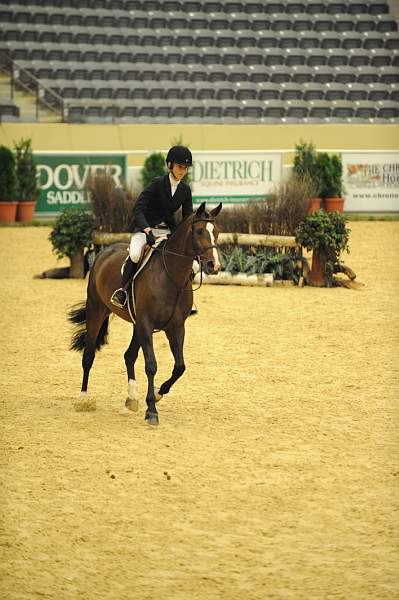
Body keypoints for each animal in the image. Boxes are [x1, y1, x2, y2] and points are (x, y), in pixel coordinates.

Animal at [66, 203, 222, 426]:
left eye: (216, 232)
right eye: (199, 231)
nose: (213, 266)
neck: (171, 275)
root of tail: (105, 252)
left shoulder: (175, 327)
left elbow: (180, 366)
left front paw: (157, 394)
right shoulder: (147, 324)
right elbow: (151, 365)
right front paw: (152, 411)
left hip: (135, 324)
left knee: (129, 356)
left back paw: (131, 398)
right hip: (97, 310)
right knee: (88, 356)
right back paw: (83, 399)